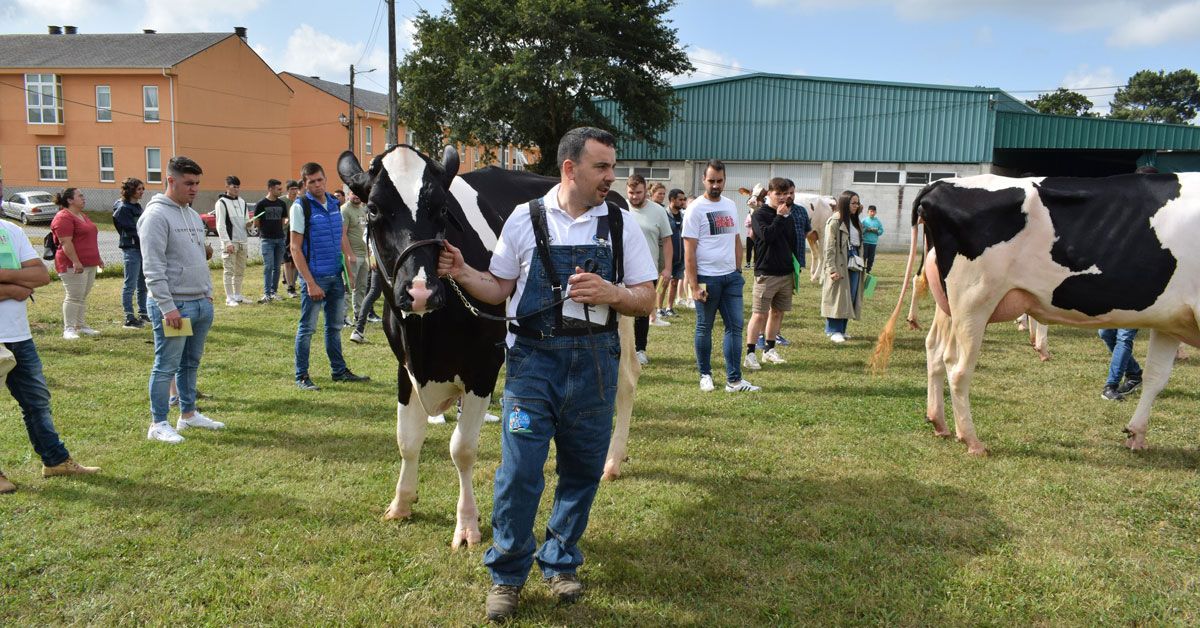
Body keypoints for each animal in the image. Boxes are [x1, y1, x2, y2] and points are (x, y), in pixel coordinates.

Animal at [873, 172, 1200, 451]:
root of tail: (939, 184)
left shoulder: (1168, 322)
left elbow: (1156, 377)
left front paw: (1136, 433)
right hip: (974, 299)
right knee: (957, 366)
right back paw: (971, 440)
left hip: (949, 302)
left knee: (935, 350)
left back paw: (938, 421)